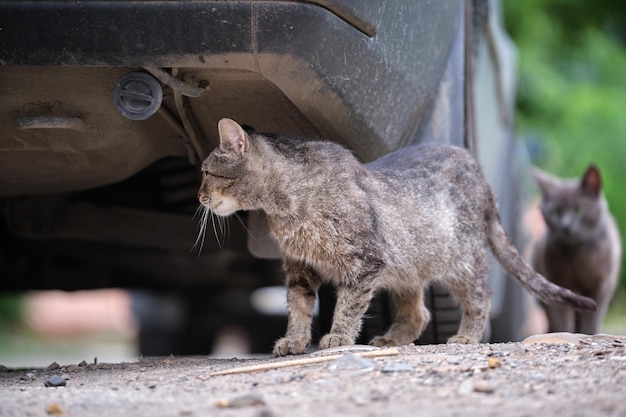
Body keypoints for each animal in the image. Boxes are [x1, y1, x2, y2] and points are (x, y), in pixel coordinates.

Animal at [196, 118, 596, 354]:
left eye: (206, 173)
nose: (198, 196)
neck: (284, 205)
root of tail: (478, 171)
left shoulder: (366, 262)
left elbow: (348, 305)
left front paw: (339, 336)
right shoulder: (299, 270)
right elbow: (298, 308)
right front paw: (294, 341)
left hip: (460, 262)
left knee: (481, 296)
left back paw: (467, 336)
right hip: (406, 267)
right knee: (419, 313)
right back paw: (391, 340)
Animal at [528, 164, 616, 334]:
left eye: (580, 209)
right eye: (554, 212)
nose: (566, 226)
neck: (577, 261)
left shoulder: (600, 287)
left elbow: (590, 322)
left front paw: (587, 334)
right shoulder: (557, 284)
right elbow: (560, 318)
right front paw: (562, 333)